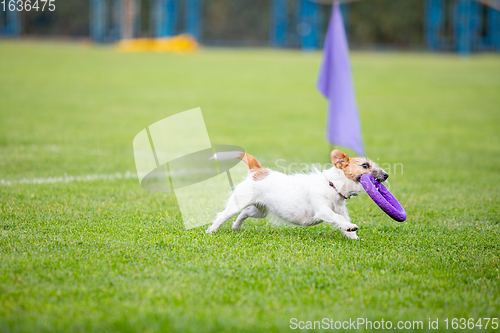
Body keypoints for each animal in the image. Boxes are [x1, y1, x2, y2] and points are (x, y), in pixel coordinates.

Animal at [205, 148, 388, 239]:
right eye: (365, 165)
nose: (386, 175)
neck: (332, 185)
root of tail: (258, 171)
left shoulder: (341, 210)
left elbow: (342, 220)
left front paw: (353, 236)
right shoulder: (323, 210)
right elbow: (337, 218)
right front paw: (350, 228)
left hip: (260, 210)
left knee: (244, 213)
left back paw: (236, 227)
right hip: (238, 203)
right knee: (223, 215)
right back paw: (211, 230)